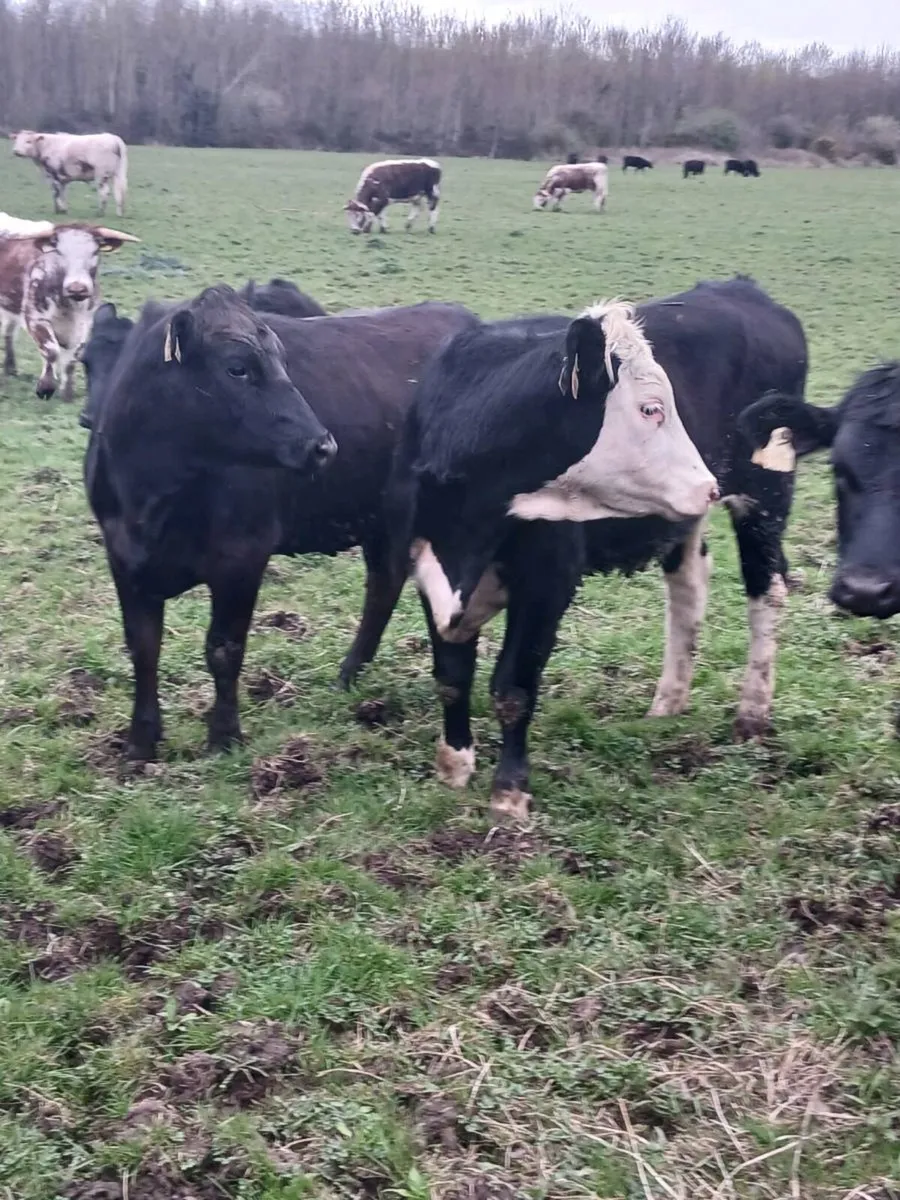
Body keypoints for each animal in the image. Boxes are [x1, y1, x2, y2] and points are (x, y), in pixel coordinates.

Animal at [0, 216, 139, 402]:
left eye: (95, 251)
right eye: (59, 252)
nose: (77, 288)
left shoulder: (83, 324)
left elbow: (73, 358)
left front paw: (67, 392)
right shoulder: (36, 318)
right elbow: (51, 351)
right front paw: (45, 388)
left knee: (8, 332)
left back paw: (10, 368)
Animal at [83, 287, 477, 761]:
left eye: (281, 362)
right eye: (238, 367)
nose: (323, 446)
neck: (152, 495)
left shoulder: (242, 557)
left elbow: (224, 648)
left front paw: (224, 737)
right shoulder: (123, 558)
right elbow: (143, 649)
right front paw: (140, 743)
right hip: (383, 521)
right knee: (385, 584)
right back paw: (349, 675)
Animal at [387, 277, 807, 820]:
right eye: (652, 408)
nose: (705, 485)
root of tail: (742, 290)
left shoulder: (547, 583)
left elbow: (513, 687)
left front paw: (509, 791)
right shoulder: (429, 568)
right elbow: (452, 676)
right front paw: (455, 764)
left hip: (765, 494)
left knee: (766, 589)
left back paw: (752, 715)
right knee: (689, 585)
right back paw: (666, 705)